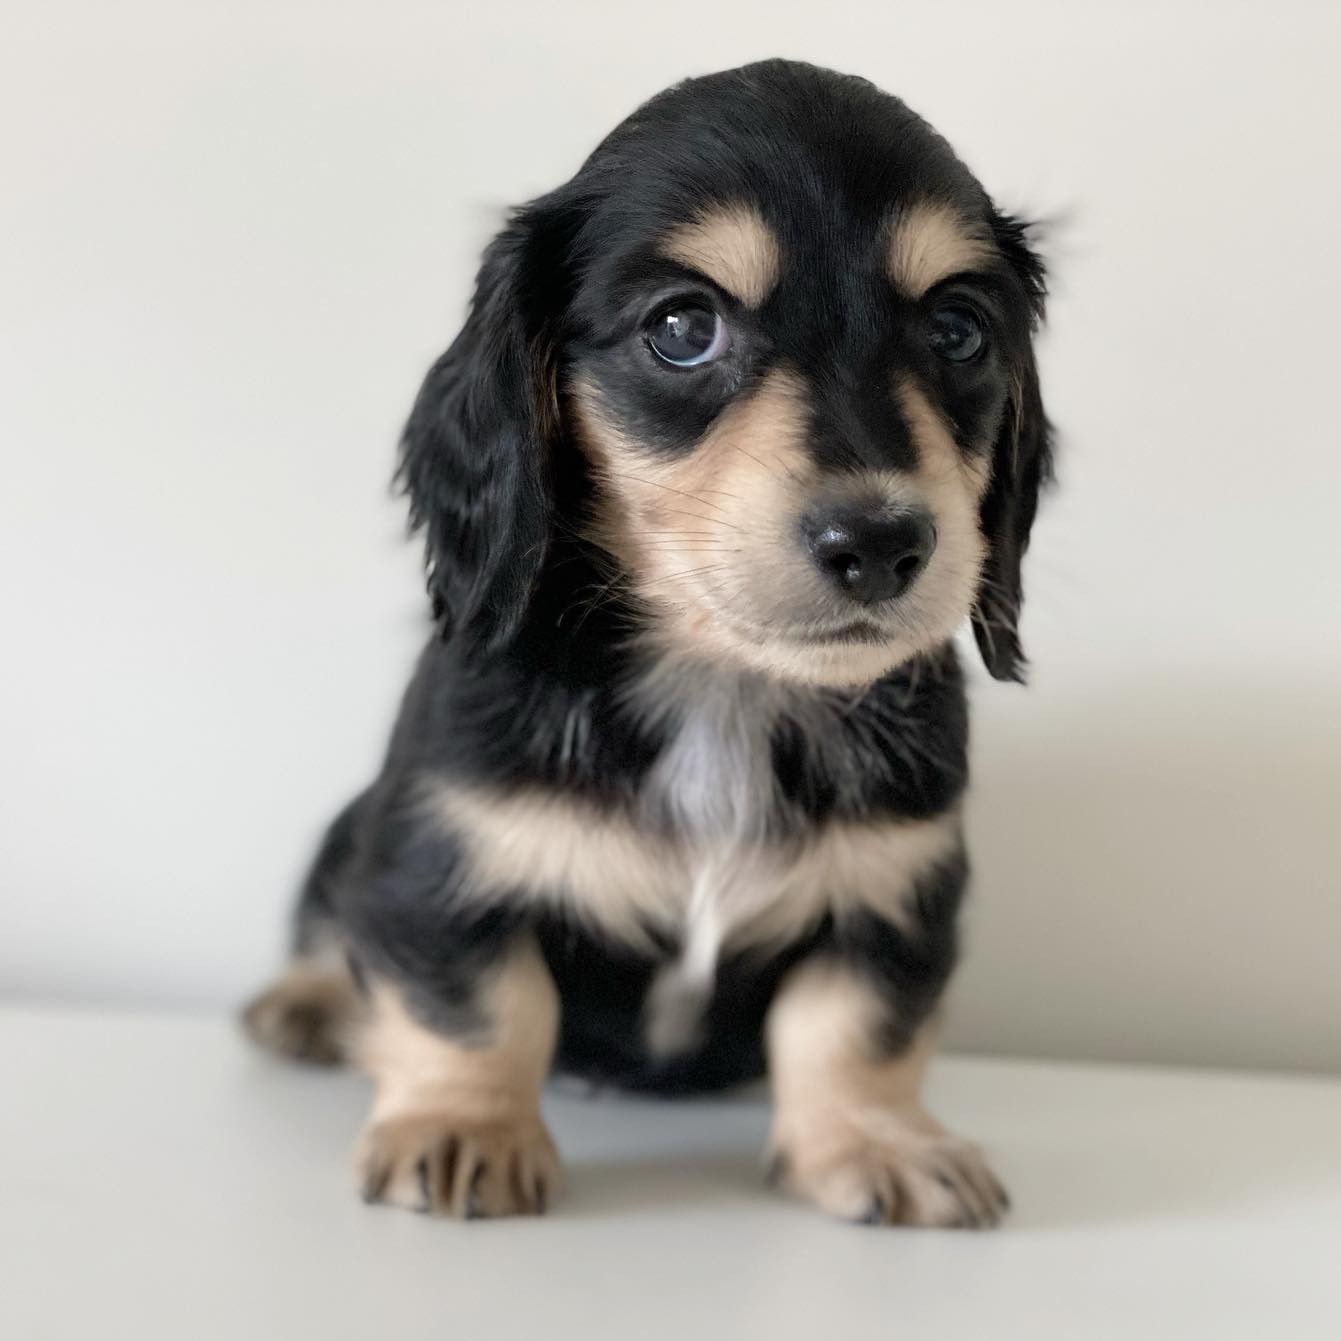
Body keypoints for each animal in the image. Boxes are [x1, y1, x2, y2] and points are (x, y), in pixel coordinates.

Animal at [243, 58, 1052, 1227]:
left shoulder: (896, 899)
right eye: (682, 328)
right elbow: (475, 1006)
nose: (880, 544)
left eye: (957, 331)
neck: (724, 684)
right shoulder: (437, 860)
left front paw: (882, 1140)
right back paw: (308, 1005)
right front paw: (463, 1126)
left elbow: (856, 1033)